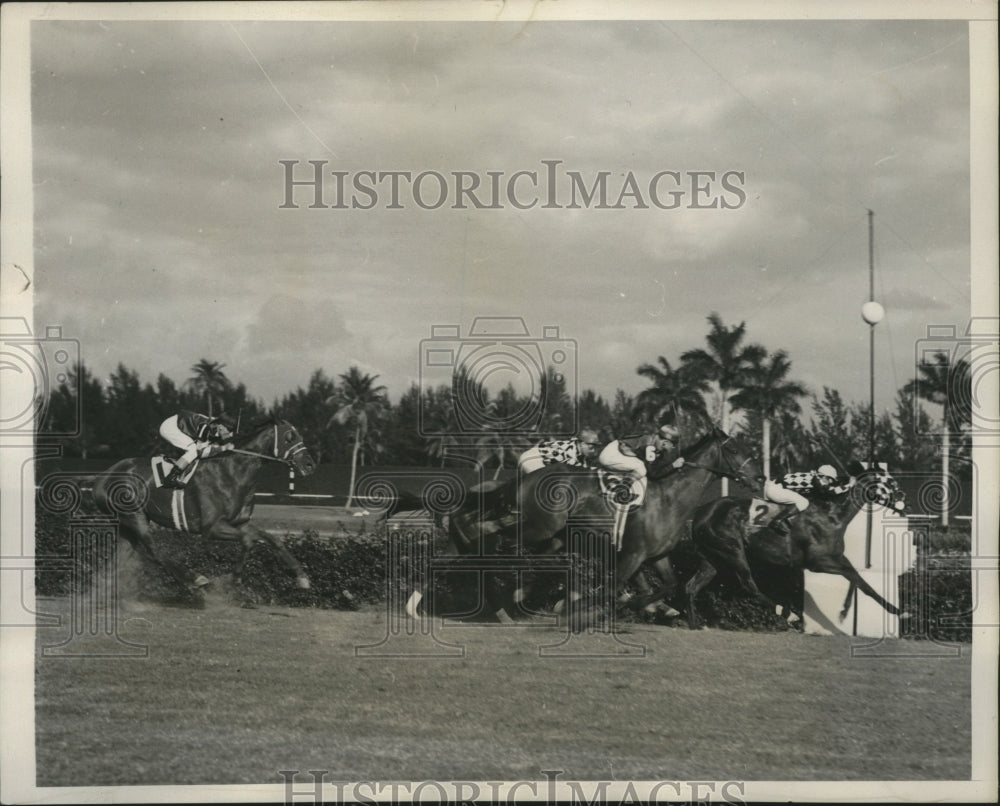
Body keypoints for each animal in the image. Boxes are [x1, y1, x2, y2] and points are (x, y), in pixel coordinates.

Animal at [93, 416, 316, 600]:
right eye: (289, 437)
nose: (310, 464)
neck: (233, 471)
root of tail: (103, 476)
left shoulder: (240, 522)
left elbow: (272, 539)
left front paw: (302, 576)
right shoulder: (211, 528)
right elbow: (248, 540)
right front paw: (232, 579)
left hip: (128, 526)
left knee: (121, 558)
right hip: (134, 516)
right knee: (153, 550)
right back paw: (194, 580)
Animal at [684, 468, 912, 632]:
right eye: (890, 483)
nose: (905, 500)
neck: (833, 516)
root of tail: (700, 512)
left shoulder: (835, 558)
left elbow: (858, 580)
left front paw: (845, 612)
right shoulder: (820, 562)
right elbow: (860, 581)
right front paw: (900, 612)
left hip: (710, 558)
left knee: (691, 587)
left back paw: (695, 623)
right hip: (732, 551)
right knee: (749, 584)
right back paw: (787, 614)